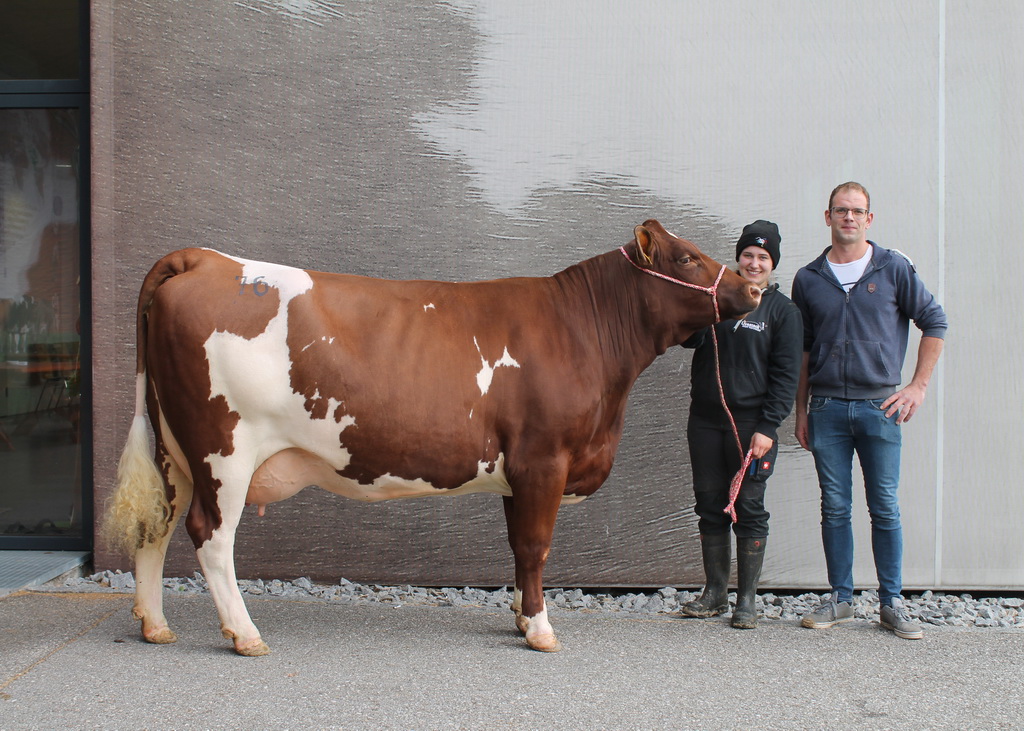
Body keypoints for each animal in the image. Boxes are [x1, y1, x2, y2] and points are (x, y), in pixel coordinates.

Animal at [105, 219, 761, 651]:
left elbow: (517, 547)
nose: (755, 288)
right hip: (224, 450)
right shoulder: (543, 459)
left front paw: (521, 616)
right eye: (686, 259)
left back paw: (155, 625)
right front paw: (541, 630)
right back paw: (244, 633)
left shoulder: (517, 470)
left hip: (175, 450)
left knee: (158, 525)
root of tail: (206, 258)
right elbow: (536, 546)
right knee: (211, 536)